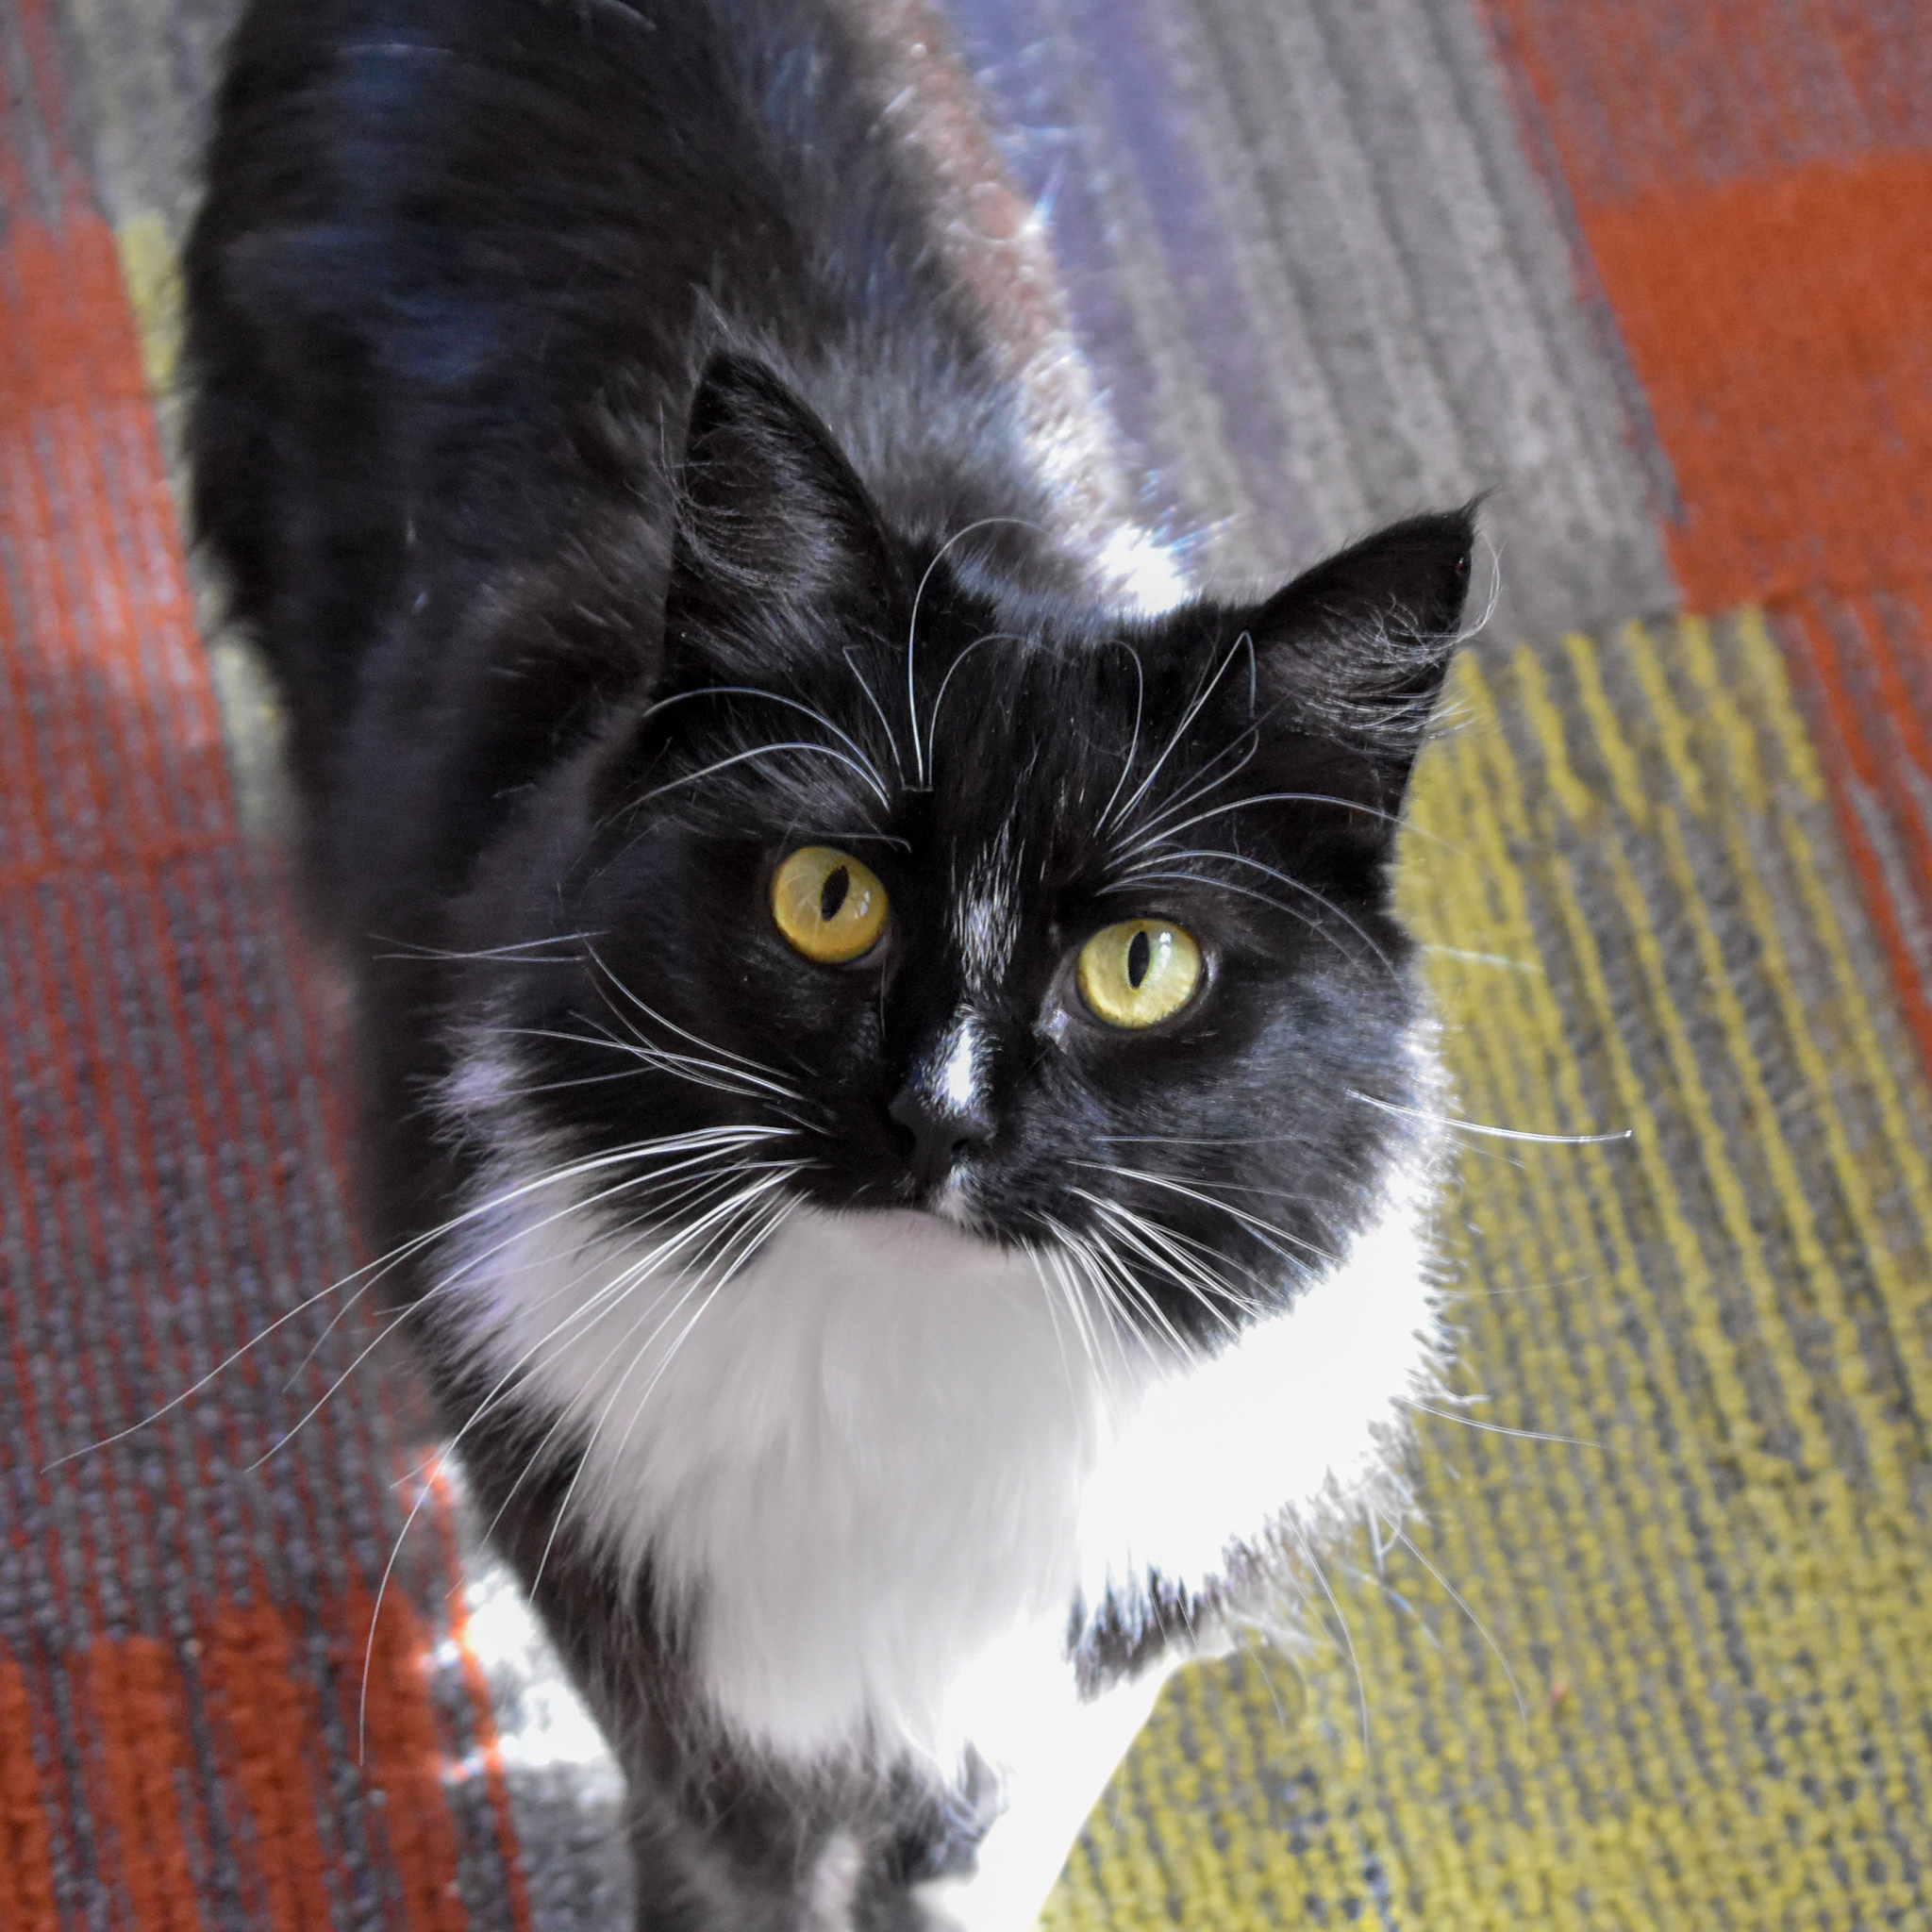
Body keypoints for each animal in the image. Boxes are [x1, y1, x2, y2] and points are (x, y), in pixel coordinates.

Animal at [184, 0, 1475, 1924]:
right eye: (828, 901)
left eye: (1141, 966)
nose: (940, 1123)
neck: (912, 1383)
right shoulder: (659, 1648)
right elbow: (741, 1877)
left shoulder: (1078, 1659)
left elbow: (969, 1867)